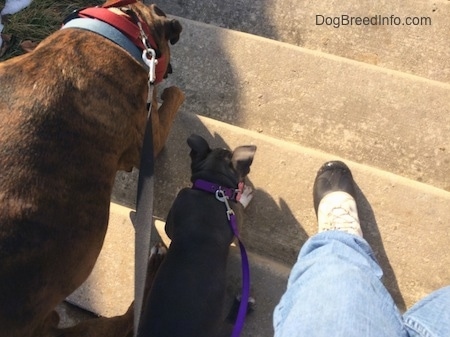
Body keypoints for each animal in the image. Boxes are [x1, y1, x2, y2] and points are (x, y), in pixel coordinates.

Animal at [0, 1, 185, 334]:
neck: (114, 30)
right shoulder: (149, 137)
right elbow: (172, 103)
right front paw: (172, 94)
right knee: (121, 326)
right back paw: (153, 266)